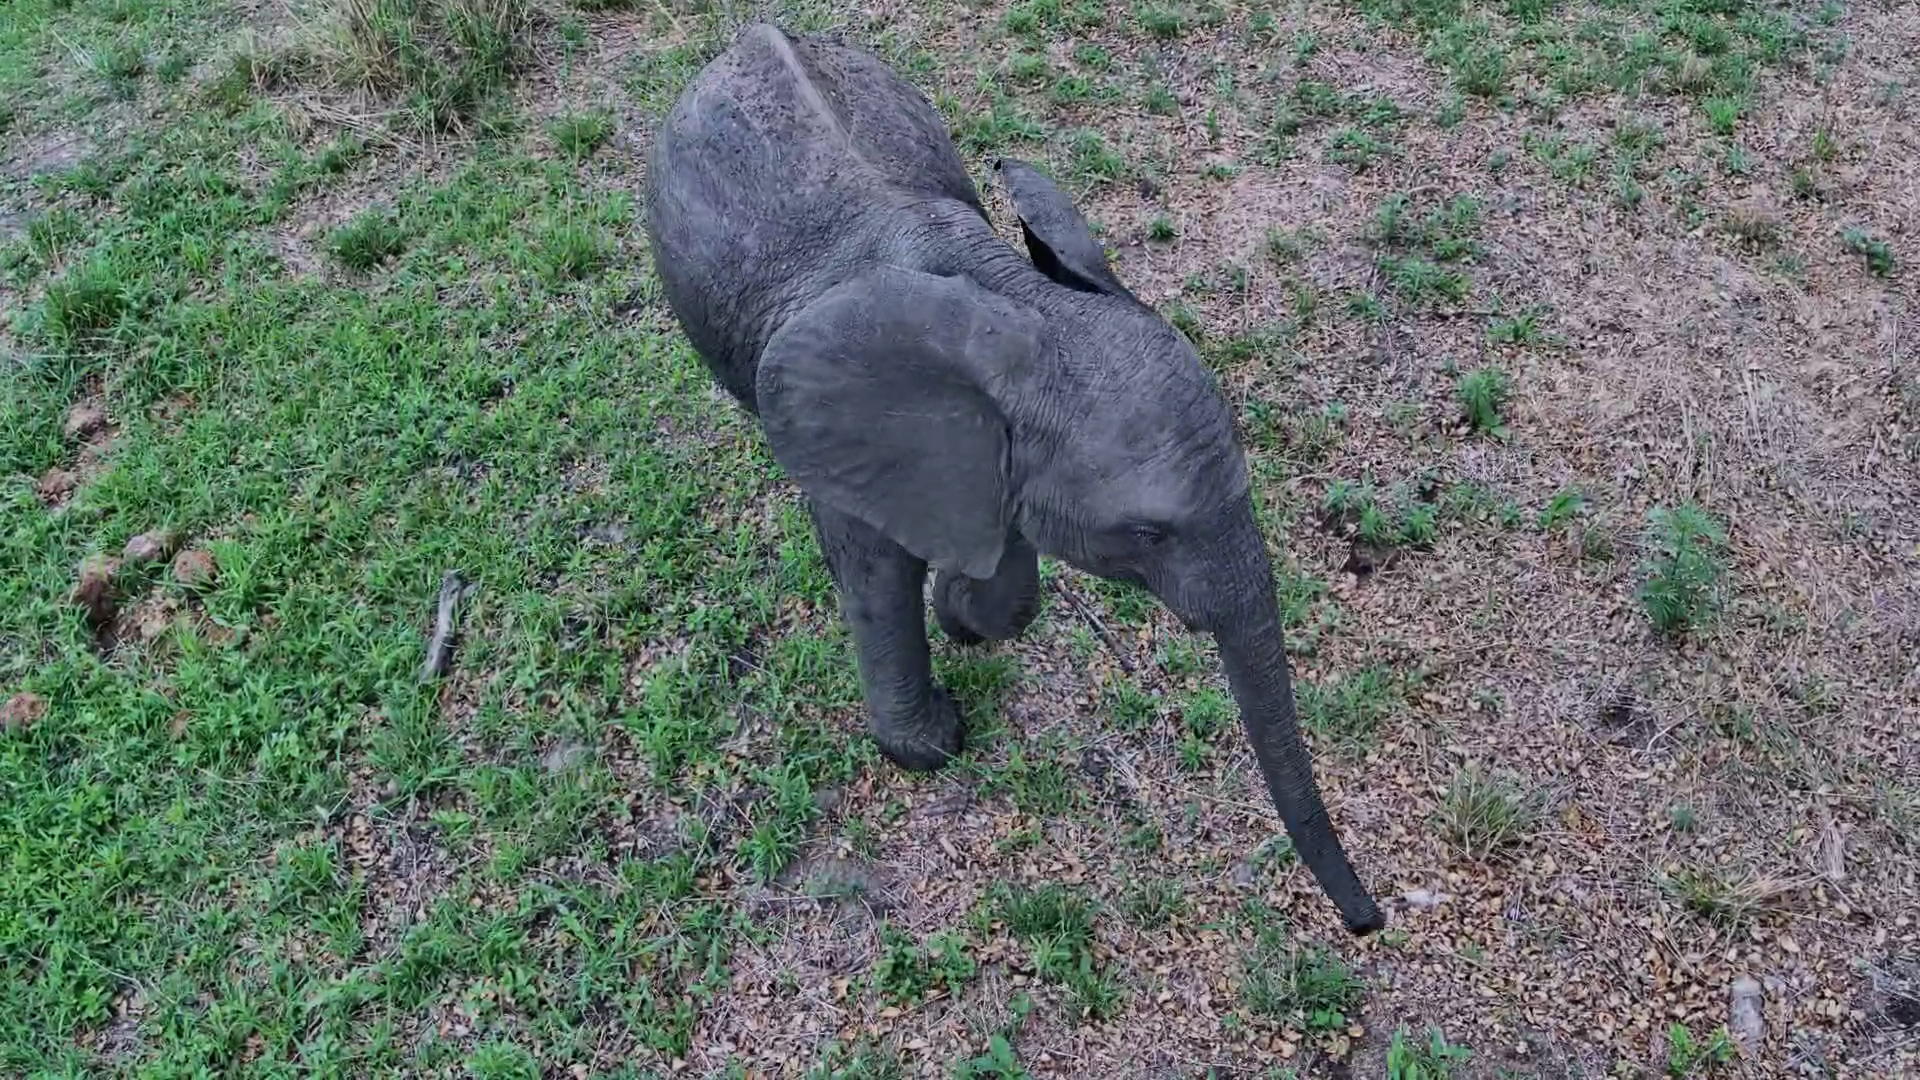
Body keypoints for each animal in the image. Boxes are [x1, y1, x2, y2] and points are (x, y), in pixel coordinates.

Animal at [643, 22, 1384, 934]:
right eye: (1146, 533)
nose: (1369, 923)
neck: (1020, 297)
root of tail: (752, 32)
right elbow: (874, 569)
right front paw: (933, 741)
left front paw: (961, 615)